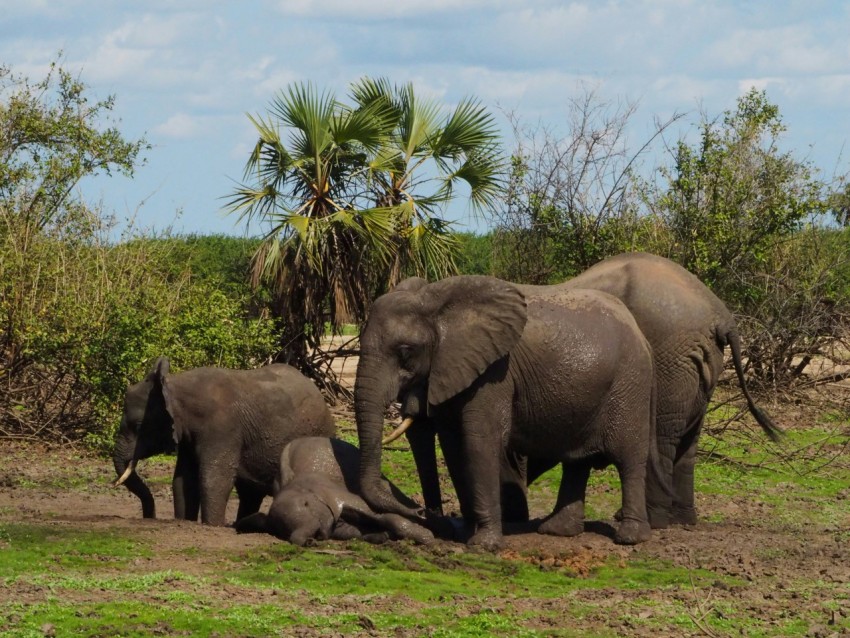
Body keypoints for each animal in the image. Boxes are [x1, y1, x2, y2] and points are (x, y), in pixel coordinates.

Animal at [112, 358, 334, 528]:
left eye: (138, 426)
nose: (149, 517)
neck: (174, 386)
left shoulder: (222, 428)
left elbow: (214, 479)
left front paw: (213, 525)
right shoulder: (188, 435)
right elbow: (184, 480)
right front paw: (185, 521)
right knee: (249, 494)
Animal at [232, 440, 430, 552]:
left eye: (306, 504)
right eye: (281, 531)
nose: (311, 541)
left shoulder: (336, 494)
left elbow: (383, 516)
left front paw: (428, 539)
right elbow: (352, 532)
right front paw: (381, 537)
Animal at [352, 276, 664, 552]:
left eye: (406, 352)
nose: (420, 512)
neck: (434, 302)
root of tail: (642, 335)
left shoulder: (495, 372)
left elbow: (479, 442)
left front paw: (483, 545)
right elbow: (454, 447)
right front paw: (466, 534)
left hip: (629, 384)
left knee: (628, 459)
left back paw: (630, 538)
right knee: (577, 461)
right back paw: (557, 531)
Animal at [564, 252, 780, 528]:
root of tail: (720, 316)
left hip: (668, 358)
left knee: (659, 438)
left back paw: (653, 521)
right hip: (698, 361)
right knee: (688, 443)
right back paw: (682, 519)